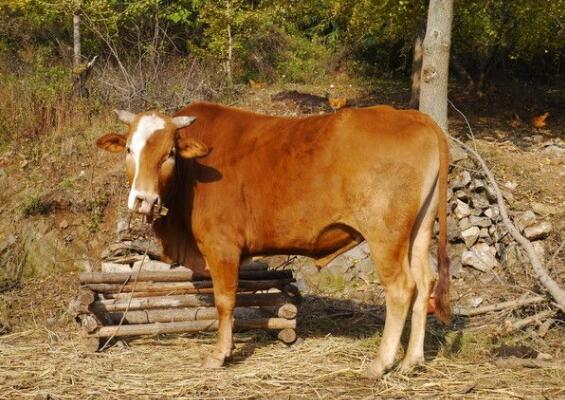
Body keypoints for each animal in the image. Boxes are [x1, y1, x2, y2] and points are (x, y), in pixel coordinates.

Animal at [96, 101, 450, 376]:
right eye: (129, 149)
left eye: (169, 153)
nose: (144, 200)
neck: (193, 173)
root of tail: (413, 116)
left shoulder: (221, 247)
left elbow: (225, 301)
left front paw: (220, 354)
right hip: (419, 231)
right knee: (425, 283)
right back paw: (412, 361)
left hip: (385, 235)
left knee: (402, 289)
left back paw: (381, 363)